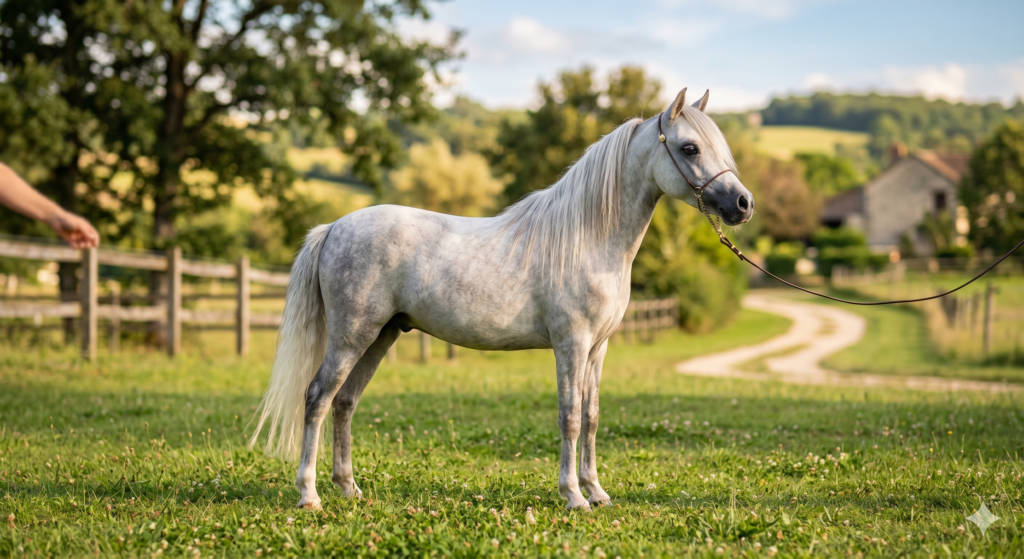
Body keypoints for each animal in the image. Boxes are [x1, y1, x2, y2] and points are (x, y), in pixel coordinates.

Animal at [249, 87, 755, 511]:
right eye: (690, 148)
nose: (743, 204)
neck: (588, 237)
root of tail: (333, 227)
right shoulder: (571, 344)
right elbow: (570, 417)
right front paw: (574, 497)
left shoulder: (598, 347)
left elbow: (591, 417)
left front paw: (597, 492)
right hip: (353, 336)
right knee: (317, 397)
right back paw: (309, 495)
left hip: (380, 336)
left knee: (345, 402)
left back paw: (350, 489)